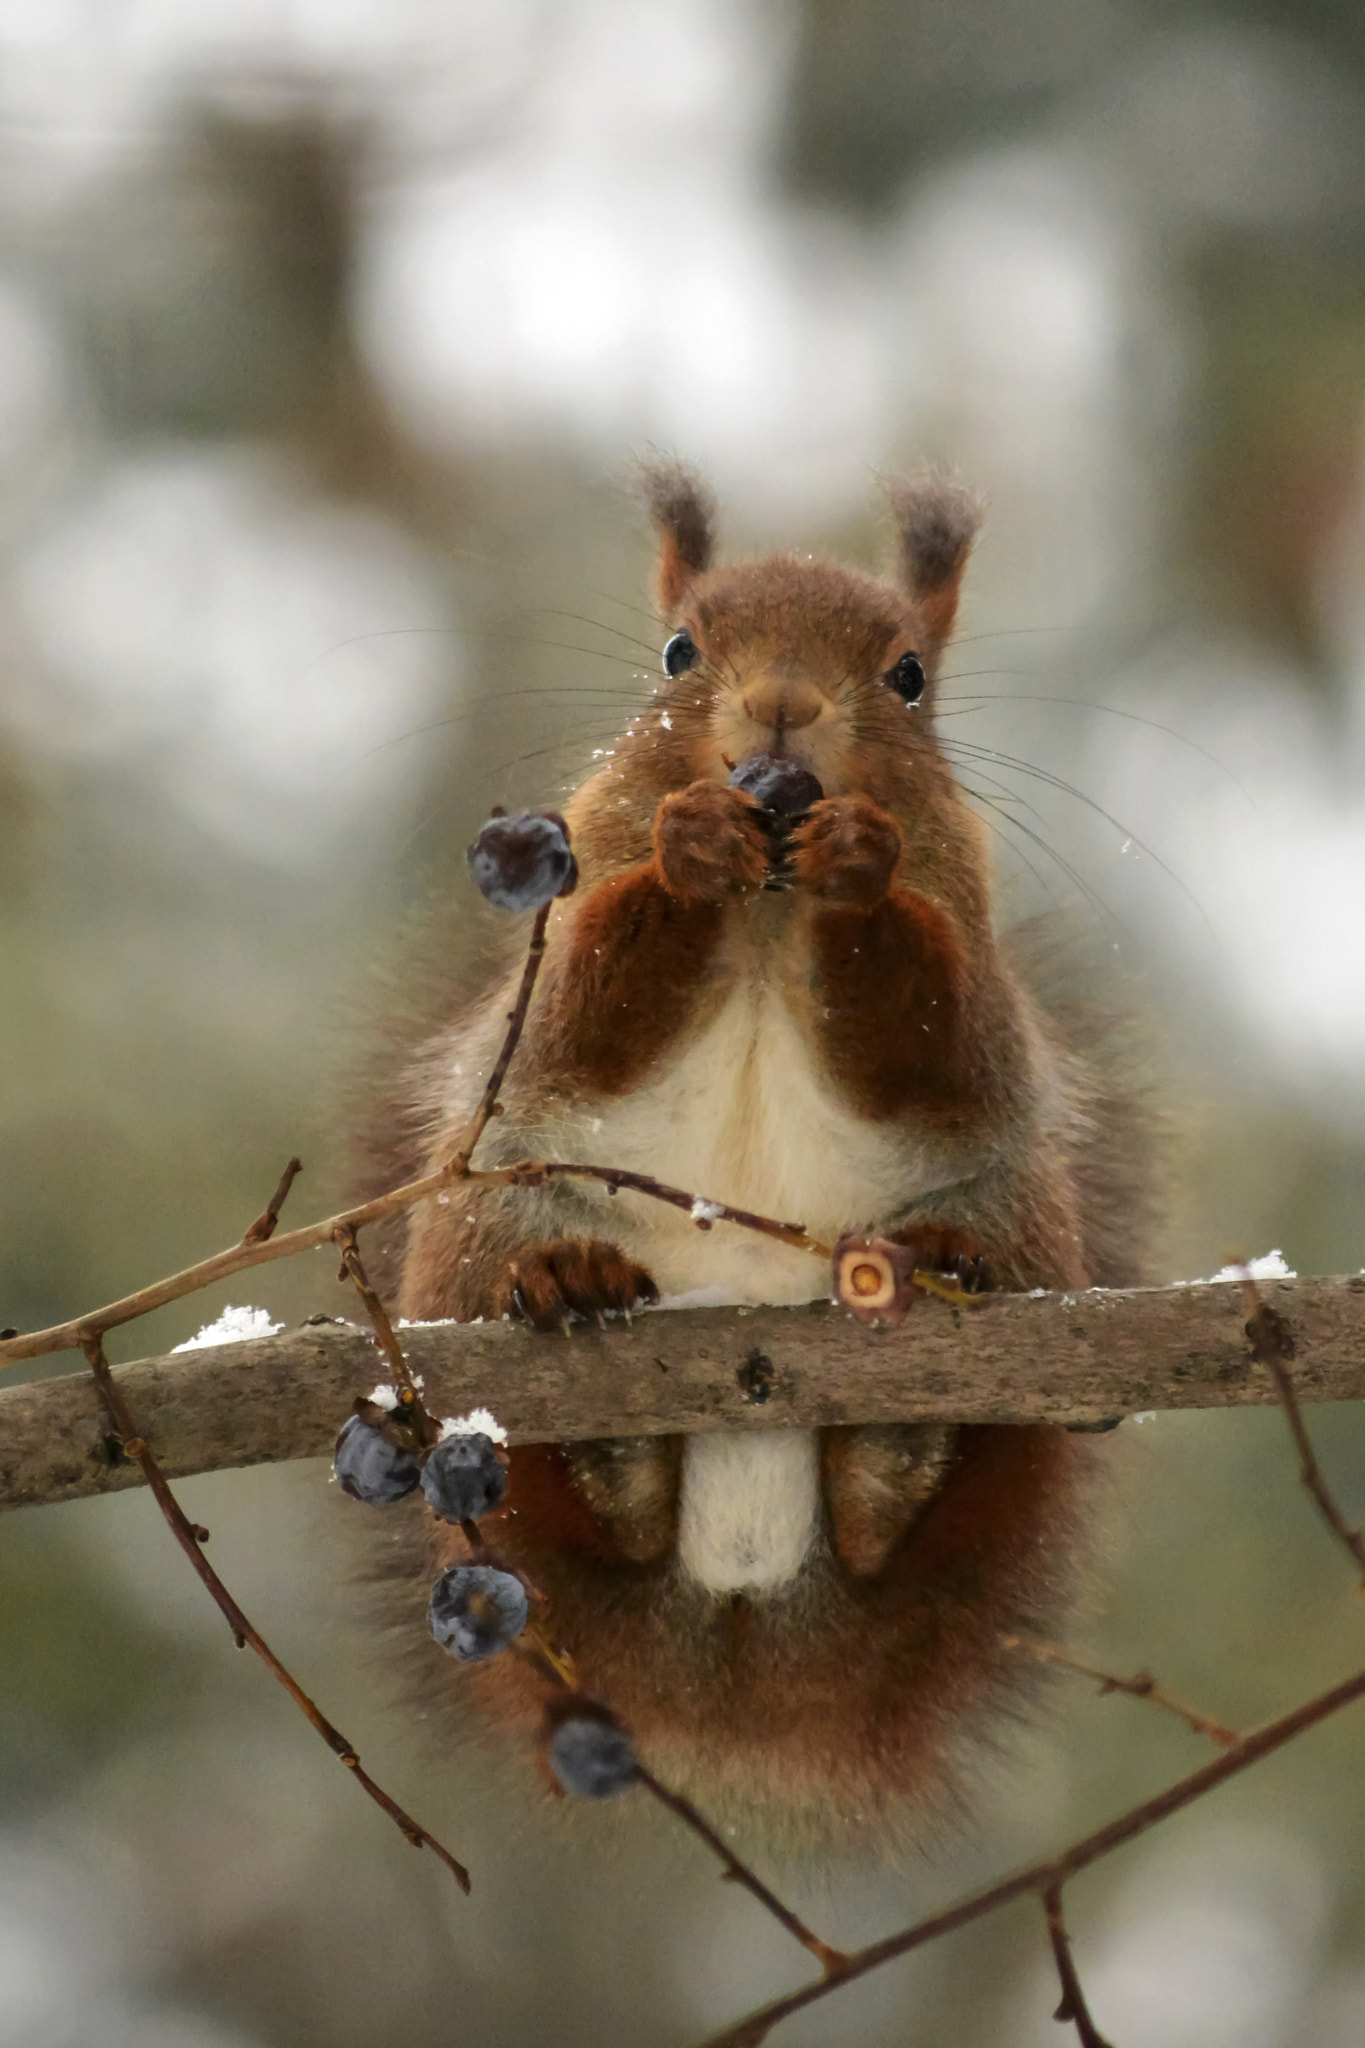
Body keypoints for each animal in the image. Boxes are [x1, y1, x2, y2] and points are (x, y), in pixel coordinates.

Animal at [378, 464, 1162, 1843]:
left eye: (908, 675)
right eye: (680, 651)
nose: (784, 708)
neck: (768, 905)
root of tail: (739, 1636)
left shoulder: (969, 958)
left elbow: (940, 1039)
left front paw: (857, 862)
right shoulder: (557, 965)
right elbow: (583, 1015)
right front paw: (693, 848)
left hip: (1018, 1214)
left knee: (889, 1515)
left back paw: (912, 1404)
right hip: (483, 1229)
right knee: (585, 1512)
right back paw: (578, 1323)